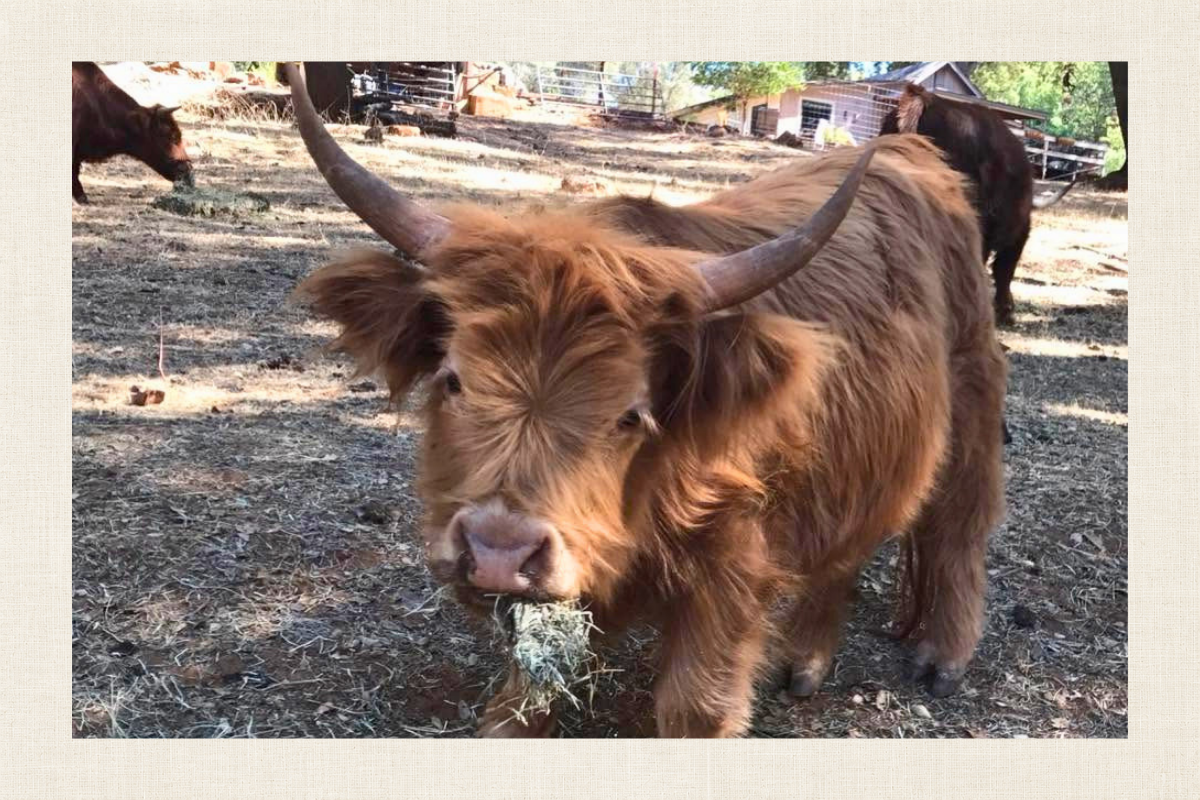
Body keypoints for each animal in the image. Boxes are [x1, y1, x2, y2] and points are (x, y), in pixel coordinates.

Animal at [282, 63, 1006, 738]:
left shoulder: (730, 578)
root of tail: (913, 153)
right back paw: (807, 660)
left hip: (973, 396)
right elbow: (524, 694)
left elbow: (694, 707)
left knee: (958, 522)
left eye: (631, 414)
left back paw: (942, 655)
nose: (499, 553)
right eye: (454, 381)